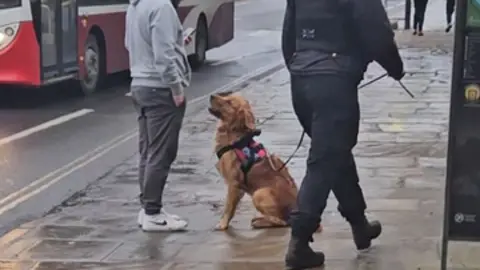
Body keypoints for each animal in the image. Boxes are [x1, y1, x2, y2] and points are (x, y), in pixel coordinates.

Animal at [207, 91, 322, 232]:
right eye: (227, 95)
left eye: (229, 102)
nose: (211, 96)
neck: (234, 134)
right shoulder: (238, 188)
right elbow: (232, 208)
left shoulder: (233, 183)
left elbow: (228, 208)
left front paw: (222, 224)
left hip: (259, 193)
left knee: (281, 221)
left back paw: (260, 222)